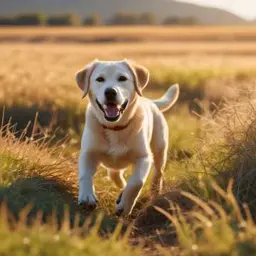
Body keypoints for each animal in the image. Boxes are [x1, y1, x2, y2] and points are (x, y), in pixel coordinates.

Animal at [76, 60, 179, 216]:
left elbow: (136, 182)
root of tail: (150, 102)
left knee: (158, 172)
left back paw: (154, 192)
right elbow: (84, 175)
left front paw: (125, 206)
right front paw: (87, 196)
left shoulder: (144, 157)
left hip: (160, 149)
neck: (115, 127)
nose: (110, 92)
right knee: (114, 173)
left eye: (122, 78)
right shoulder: (88, 153)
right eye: (100, 79)